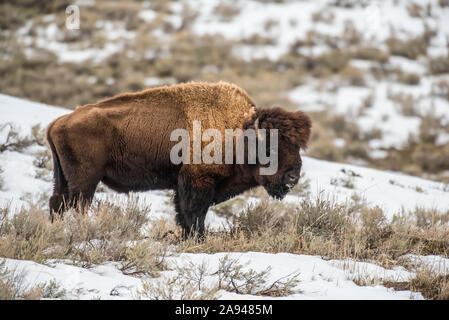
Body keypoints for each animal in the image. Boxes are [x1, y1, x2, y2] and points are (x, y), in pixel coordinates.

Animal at [46, 82, 312, 238]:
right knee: (78, 205)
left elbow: (186, 214)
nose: (293, 177)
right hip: (86, 181)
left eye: (297, 146)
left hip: (63, 178)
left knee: (57, 203)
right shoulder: (197, 182)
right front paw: (197, 238)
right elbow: (193, 213)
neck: (238, 131)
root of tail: (58, 122)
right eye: (270, 145)